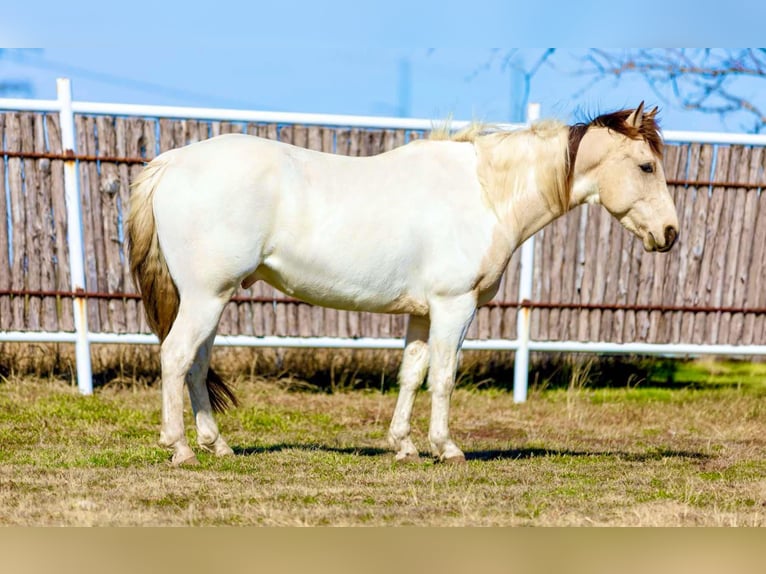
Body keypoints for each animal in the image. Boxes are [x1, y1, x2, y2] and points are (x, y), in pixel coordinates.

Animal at [127, 101, 679, 466]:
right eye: (646, 166)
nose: (671, 233)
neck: (485, 192)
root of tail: (171, 162)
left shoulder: (420, 313)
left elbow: (411, 375)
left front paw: (404, 446)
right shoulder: (455, 307)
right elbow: (445, 377)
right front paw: (446, 448)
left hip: (210, 299)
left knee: (197, 365)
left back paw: (216, 444)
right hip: (206, 297)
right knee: (176, 358)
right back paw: (180, 448)